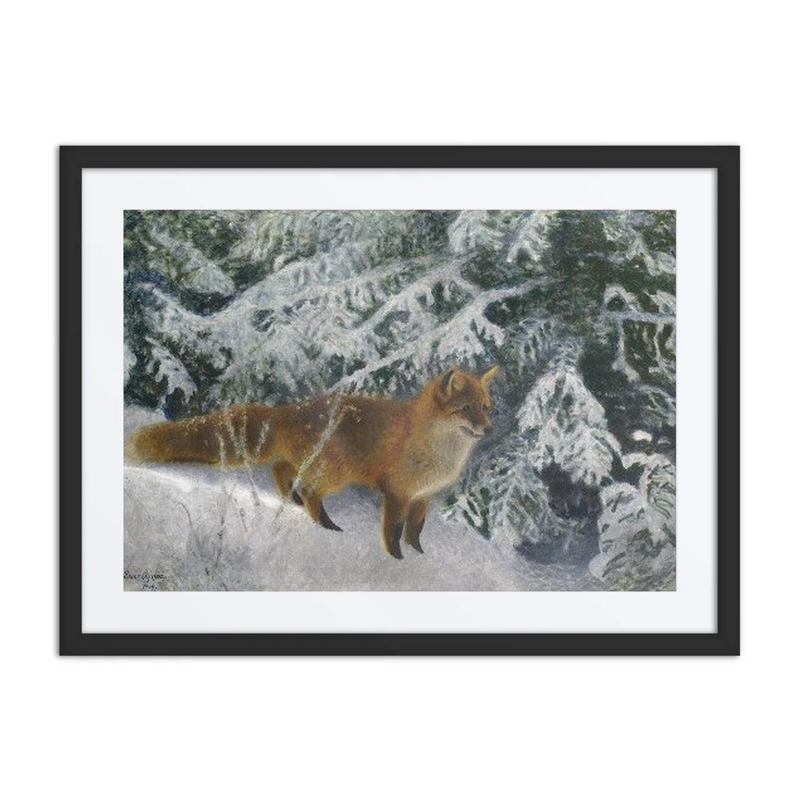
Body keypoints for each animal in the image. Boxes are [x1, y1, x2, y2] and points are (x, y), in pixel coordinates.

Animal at [127, 365, 499, 558]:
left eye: (485, 407)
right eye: (466, 408)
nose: (489, 428)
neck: (438, 449)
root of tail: (288, 410)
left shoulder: (423, 497)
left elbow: (415, 531)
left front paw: (420, 555)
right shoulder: (398, 493)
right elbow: (394, 532)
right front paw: (396, 559)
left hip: (314, 466)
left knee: (280, 470)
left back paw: (291, 501)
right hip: (335, 474)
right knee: (308, 490)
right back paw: (325, 525)